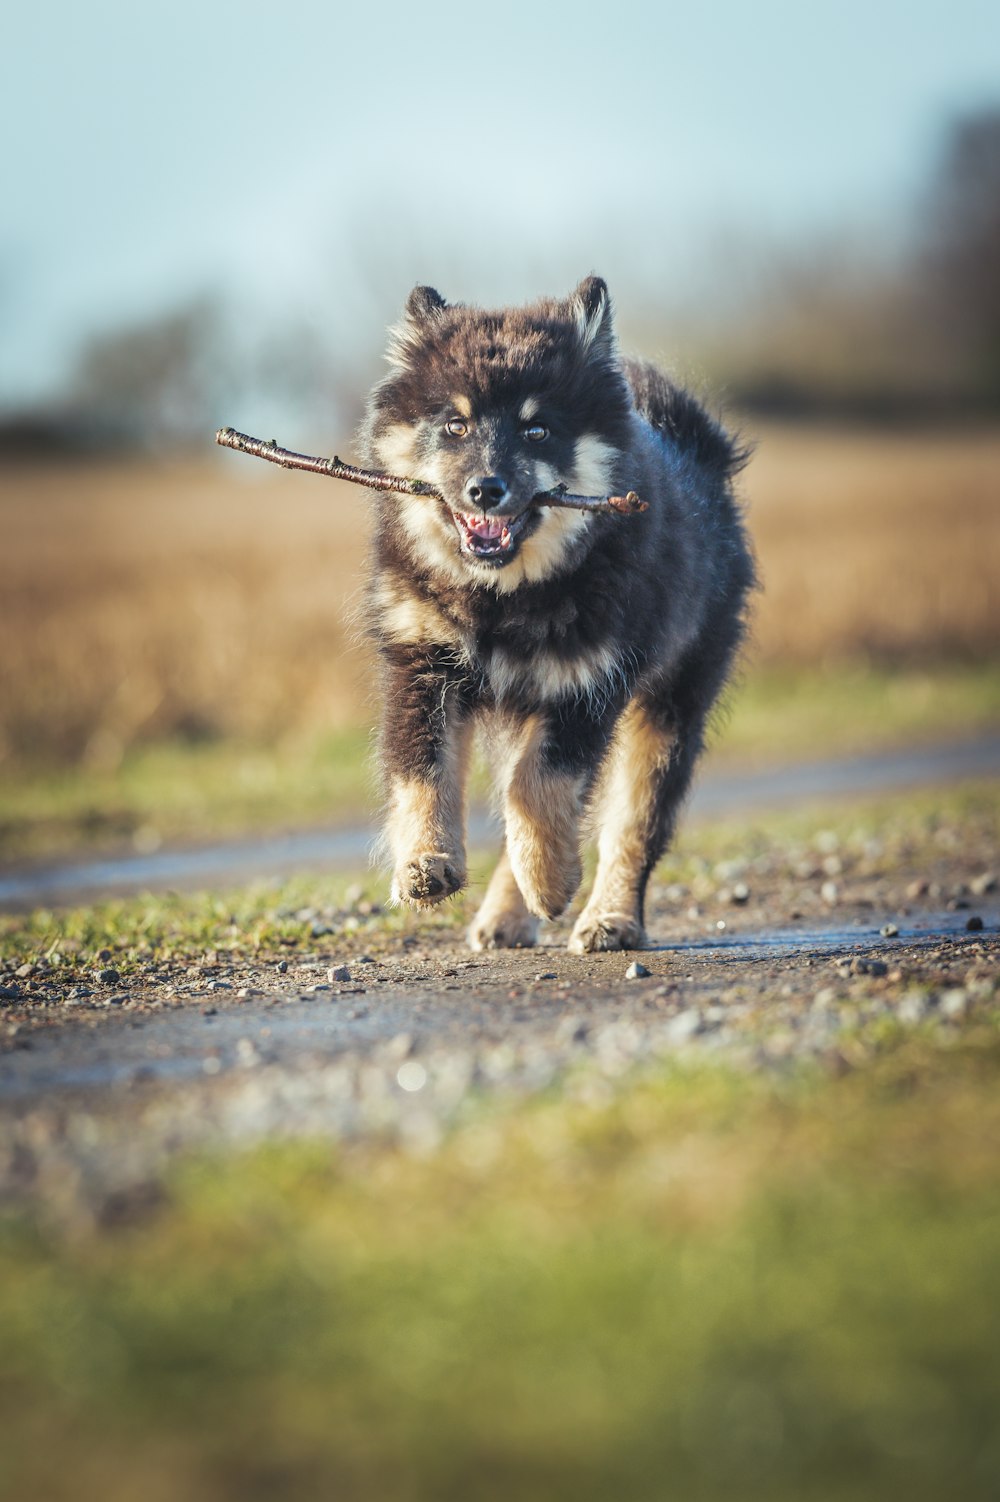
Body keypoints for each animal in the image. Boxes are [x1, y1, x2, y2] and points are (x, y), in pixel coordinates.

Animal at [354, 279, 750, 949]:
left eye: (536, 431)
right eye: (455, 425)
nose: (485, 489)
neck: (503, 600)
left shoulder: (586, 682)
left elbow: (539, 787)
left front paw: (549, 881)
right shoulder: (425, 665)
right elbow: (423, 771)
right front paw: (425, 864)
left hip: (671, 706)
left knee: (632, 825)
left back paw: (609, 918)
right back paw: (505, 915)